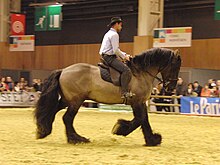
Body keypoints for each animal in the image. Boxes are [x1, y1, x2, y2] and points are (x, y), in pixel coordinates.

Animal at [34, 47, 181, 146]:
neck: (140, 73)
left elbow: (144, 119)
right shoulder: (137, 102)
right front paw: (120, 129)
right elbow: (140, 119)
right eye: (175, 66)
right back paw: (77, 139)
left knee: (53, 112)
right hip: (76, 101)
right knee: (67, 118)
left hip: (66, 100)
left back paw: (44, 131)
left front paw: (152, 140)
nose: (171, 88)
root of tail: (63, 70)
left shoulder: (140, 103)